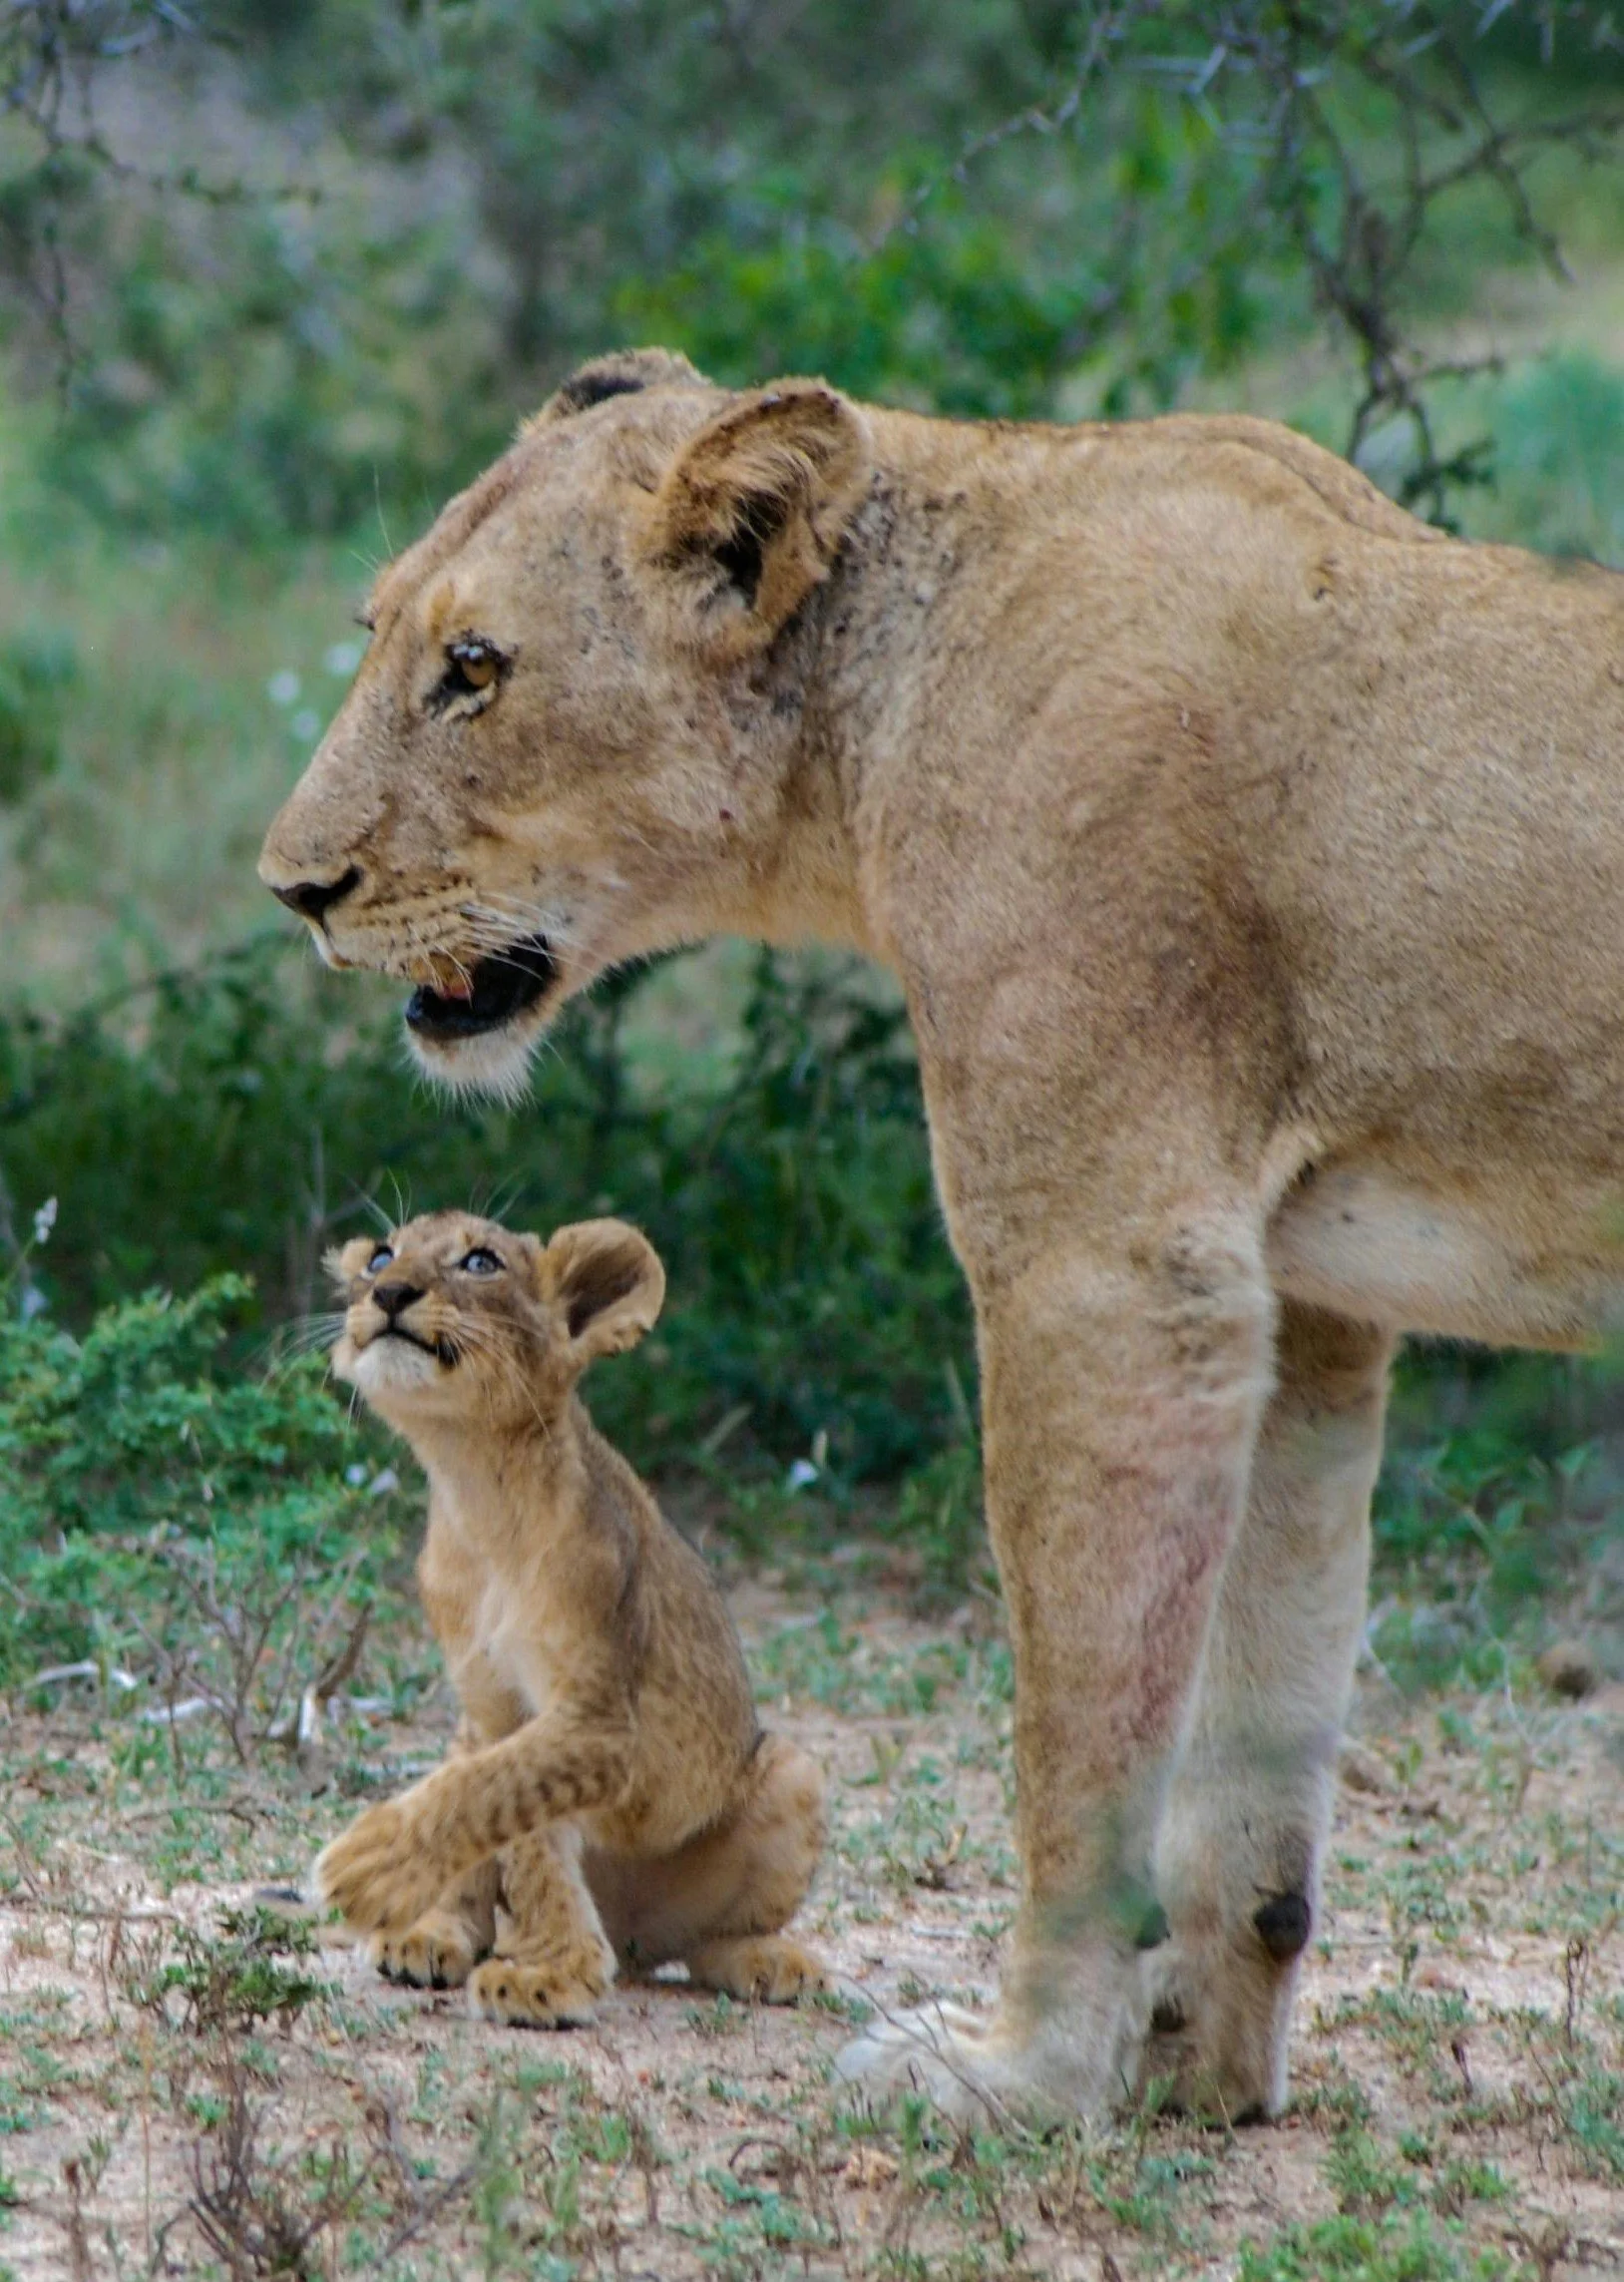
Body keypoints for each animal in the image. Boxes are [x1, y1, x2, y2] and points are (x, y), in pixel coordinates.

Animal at [318, 1206, 827, 2024]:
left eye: (481, 1261)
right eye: (384, 1256)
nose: (388, 1292)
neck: (476, 1487)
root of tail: (631, 1931)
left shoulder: (600, 1721)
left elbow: (492, 1794)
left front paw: (371, 1868)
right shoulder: (496, 1708)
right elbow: (509, 1816)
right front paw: (547, 1965)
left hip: (792, 1773)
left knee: (703, 1945)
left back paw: (764, 1959)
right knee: (480, 1894)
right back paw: (429, 1935)